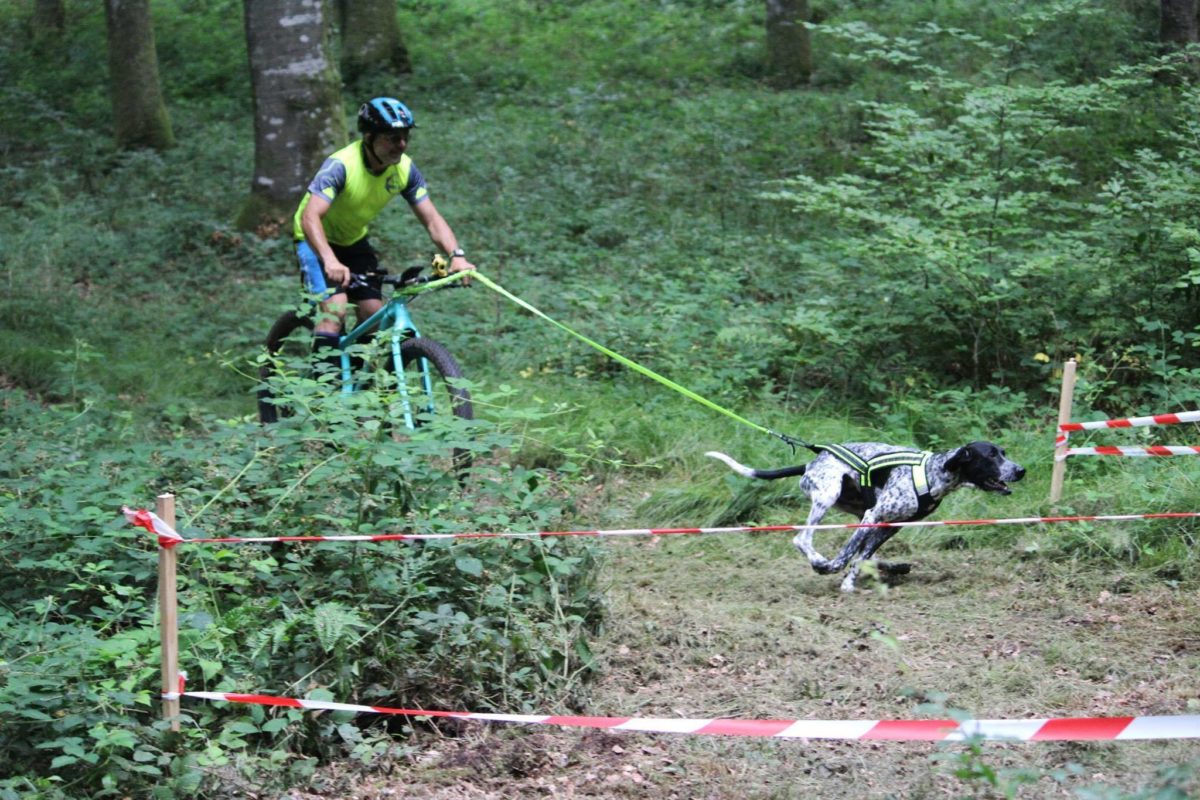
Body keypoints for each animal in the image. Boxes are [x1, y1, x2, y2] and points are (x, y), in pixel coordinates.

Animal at [705, 441, 1027, 592]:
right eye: (991, 456)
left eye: (1003, 452)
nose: (1021, 470)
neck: (933, 472)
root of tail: (811, 462)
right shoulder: (875, 514)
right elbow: (847, 554)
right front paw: (830, 568)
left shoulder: (887, 525)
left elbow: (861, 555)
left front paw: (849, 583)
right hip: (828, 495)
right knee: (802, 539)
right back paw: (819, 560)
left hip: (856, 511)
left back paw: (890, 566)